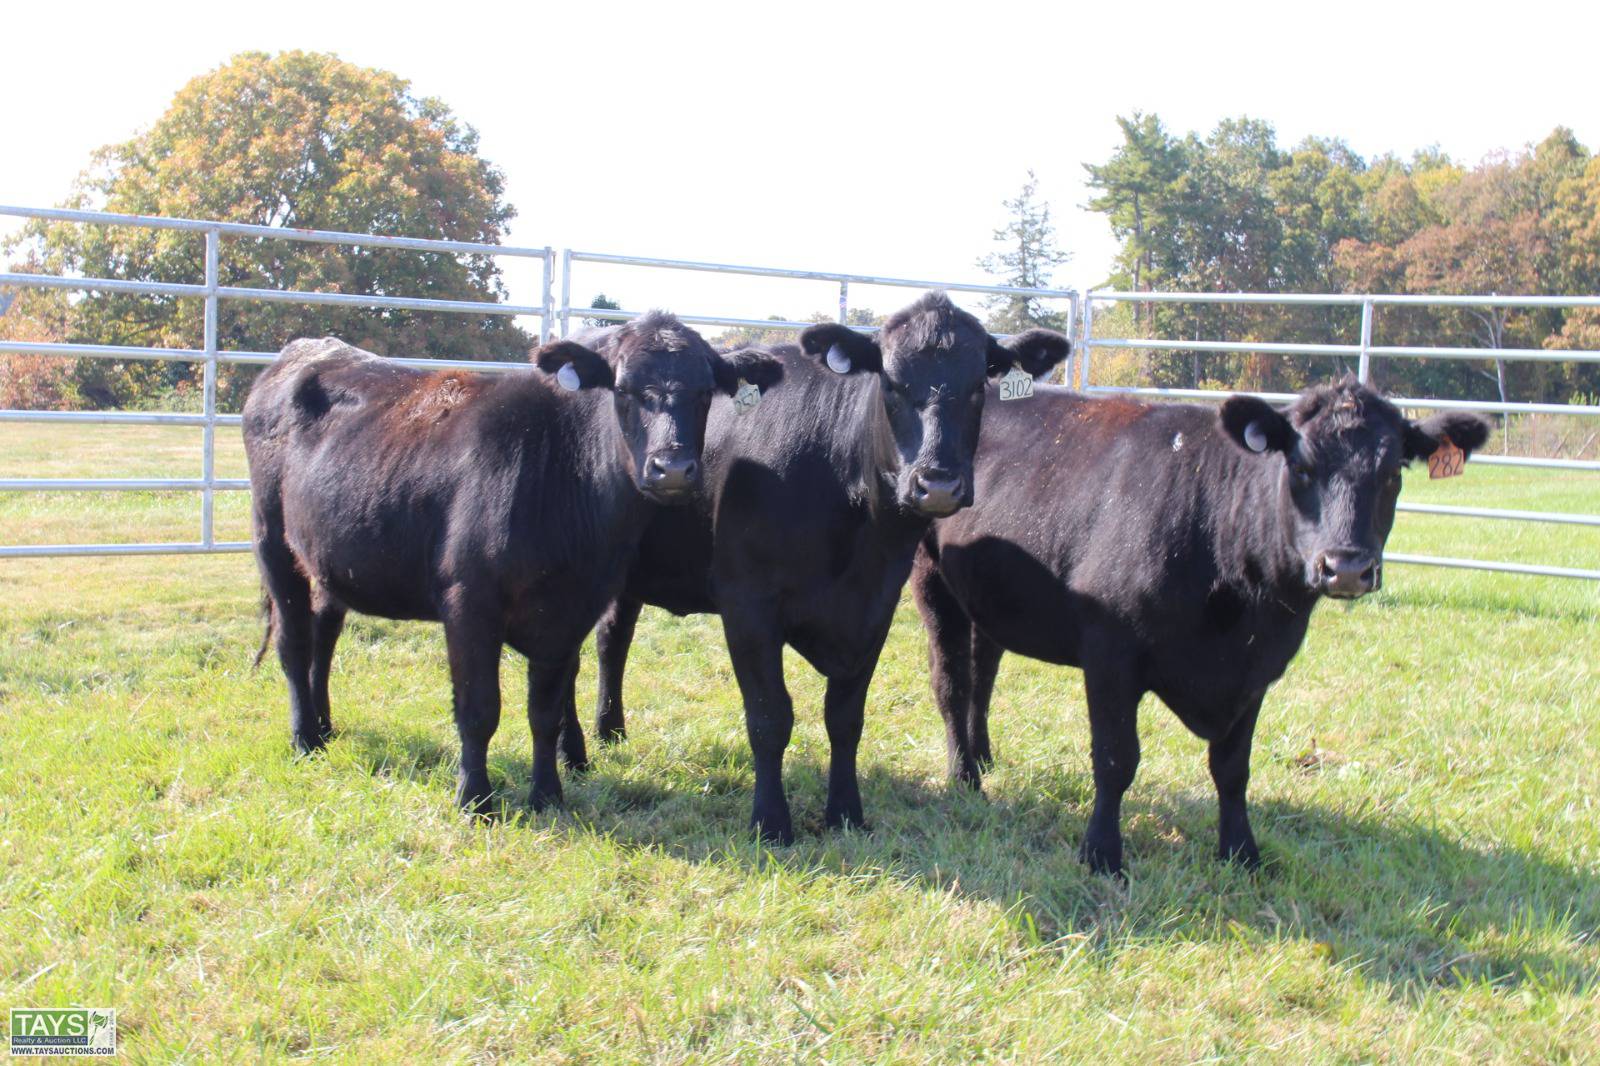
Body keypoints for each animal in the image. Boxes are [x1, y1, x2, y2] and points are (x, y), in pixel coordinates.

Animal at [241, 314, 782, 815]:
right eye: (623, 389)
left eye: (705, 392)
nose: (672, 470)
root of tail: (307, 349)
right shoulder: (468, 600)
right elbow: (479, 709)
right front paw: (474, 799)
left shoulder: (572, 609)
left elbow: (545, 711)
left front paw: (547, 794)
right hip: (272, 542)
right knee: (294, 642)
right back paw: (305, 739)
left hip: (327, 560)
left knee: (324, 634)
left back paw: (325, 727)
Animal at [579, 292, 1072, 842]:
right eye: (892, 384)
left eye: (976, 387)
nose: (938, 484)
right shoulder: (747, 603)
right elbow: (770, 716)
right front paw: (771, 821)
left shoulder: (876, 604)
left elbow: (845, 717)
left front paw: (846, 812)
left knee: (613, 639)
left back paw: (611, 731)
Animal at [912, 378, 1492, 876]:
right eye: (1301, 468)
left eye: (1392, 472)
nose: (1346, 566)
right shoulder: (1110, 653)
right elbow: (1116, 759)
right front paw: (1102, 853)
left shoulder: (1256, 670)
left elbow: (1232, 768)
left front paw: (1241, 851)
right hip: (932, 578)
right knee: (952, 682)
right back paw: (966, 777)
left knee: (983, 670)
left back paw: (984, 756)